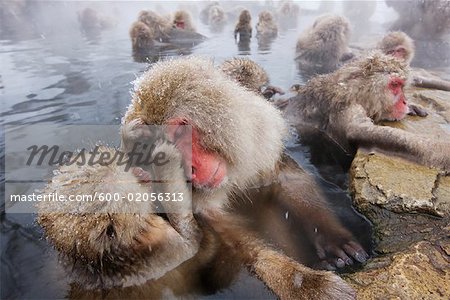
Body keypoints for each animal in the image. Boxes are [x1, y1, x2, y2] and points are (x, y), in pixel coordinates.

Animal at [284, 52, 450, 172]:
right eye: (395, 85)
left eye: (402, 86)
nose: (404, 102)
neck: (355, 92)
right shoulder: (346, 107)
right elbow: (358, 131)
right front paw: (444, 151)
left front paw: (412, 106)